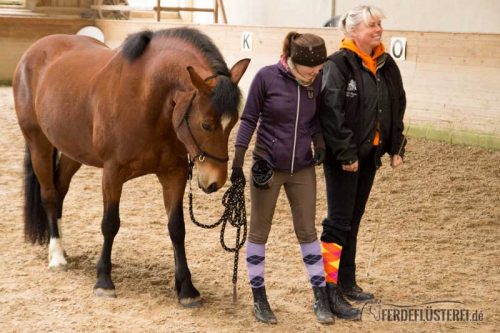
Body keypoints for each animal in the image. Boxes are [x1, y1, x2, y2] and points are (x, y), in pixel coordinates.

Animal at [12, 26, 250, 306]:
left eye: (233, 122)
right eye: (205, 124)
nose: (215, 181)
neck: (145, 98)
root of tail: (34, 51)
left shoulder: (174, 174)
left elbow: (177, 228)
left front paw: (187, 288)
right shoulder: (112, 174)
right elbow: (110, 224)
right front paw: (104, 281)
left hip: (74, 152)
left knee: (59, 193)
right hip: (38, 143)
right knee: (49, 196)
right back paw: (57, 256)